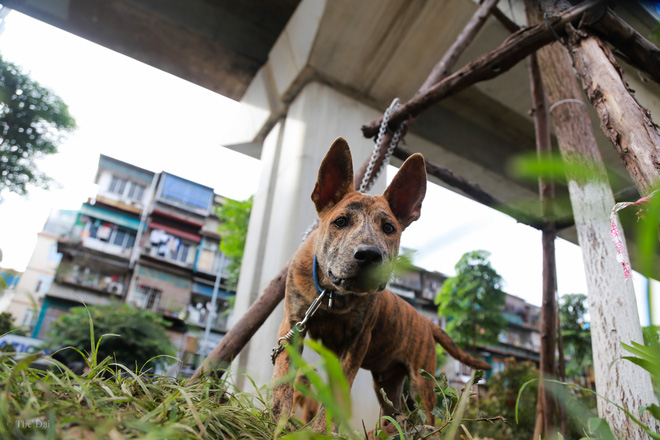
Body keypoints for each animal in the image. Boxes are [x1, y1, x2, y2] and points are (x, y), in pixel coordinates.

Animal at [270, 138, 492, 430]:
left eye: (389, 228)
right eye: (340, 221)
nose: (368, 255)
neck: (332, 294)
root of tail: (426, 321)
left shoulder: (357, 340)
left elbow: (339, 390)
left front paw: (319, 430)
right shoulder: (293, 324)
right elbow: (283, 375)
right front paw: (276, 420)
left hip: (421, 380)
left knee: (425, 416)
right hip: (387, 381)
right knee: (395, 416)